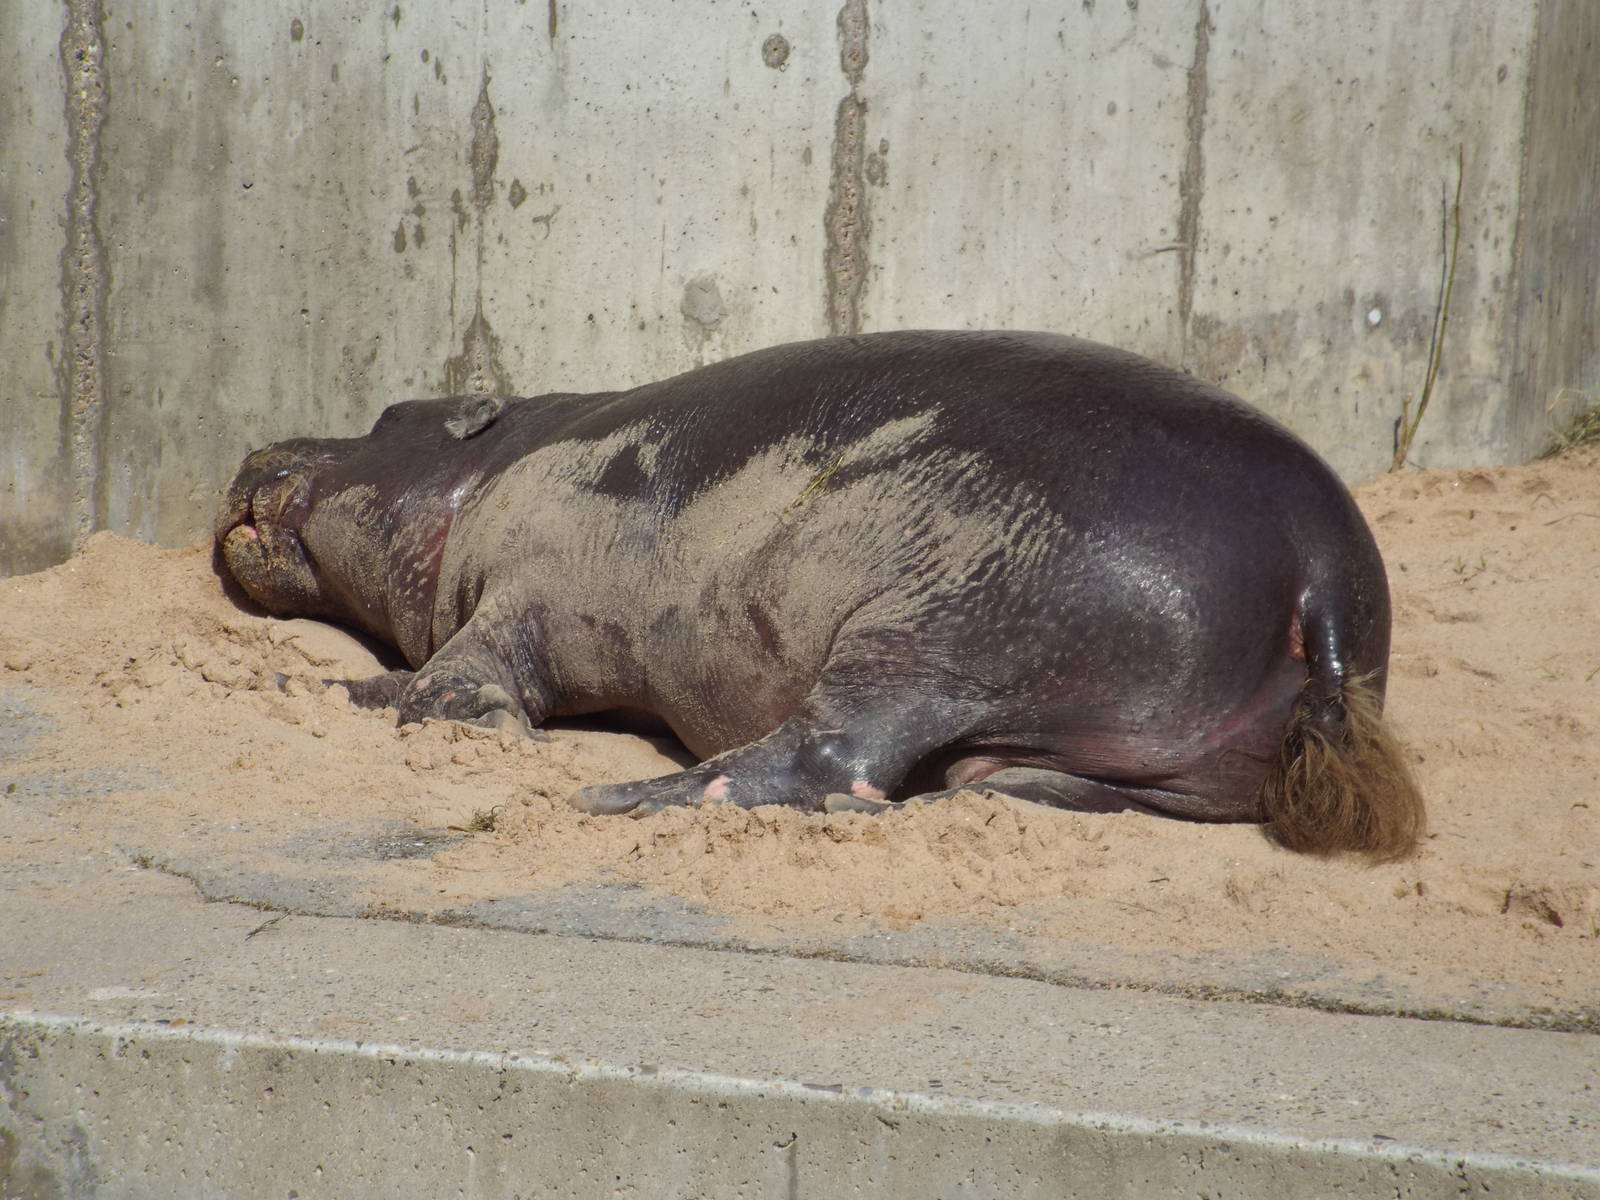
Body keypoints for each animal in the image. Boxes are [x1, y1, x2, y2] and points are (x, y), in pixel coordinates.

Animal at [216, 330, 1423, 859]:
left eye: (387, 413)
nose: (255, 447)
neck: (486, 470)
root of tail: (1319, 563)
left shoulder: (516, 599)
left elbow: (453, 687)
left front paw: (320, 691)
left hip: (931, 628)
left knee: (830, 760)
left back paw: (620, 801)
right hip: (1136, 760)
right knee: (1011, 787)